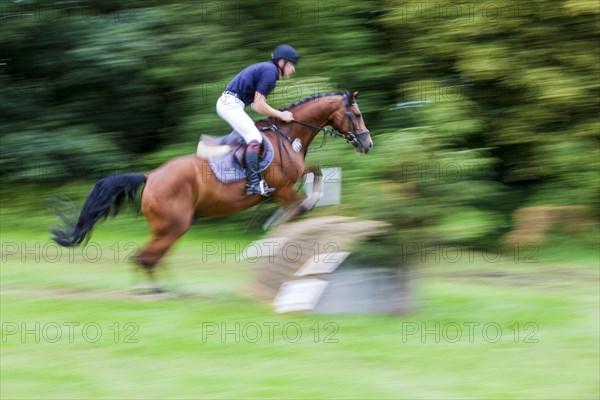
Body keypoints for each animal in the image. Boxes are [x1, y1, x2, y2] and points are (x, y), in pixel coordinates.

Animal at [50, 90, 370, 286]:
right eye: (356, 114)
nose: (367, 144)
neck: (288, 134)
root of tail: (150, 176)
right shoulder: (282, 189)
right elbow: (298, 204)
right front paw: (278, 226)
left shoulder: (293, 178)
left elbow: (315, 172)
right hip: (173, 225)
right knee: (145, 257)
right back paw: (159, 293)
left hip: (171, 227)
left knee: (149, 258)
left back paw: (167, 291)